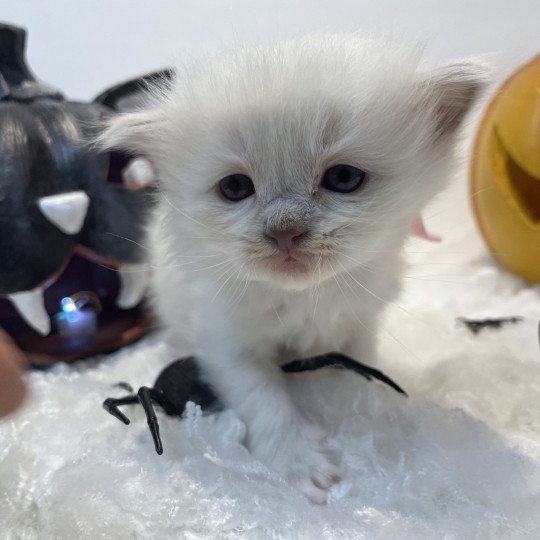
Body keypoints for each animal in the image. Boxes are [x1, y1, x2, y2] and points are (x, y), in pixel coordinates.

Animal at [98, 35, 486, 504]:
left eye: (343, 177)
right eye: (235, 187)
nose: (285, 231)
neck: (305, 296)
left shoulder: (360, 321)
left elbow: (360, 365)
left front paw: (369, 412)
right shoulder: (227, 341)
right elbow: (263, 398)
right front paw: (299, 463)